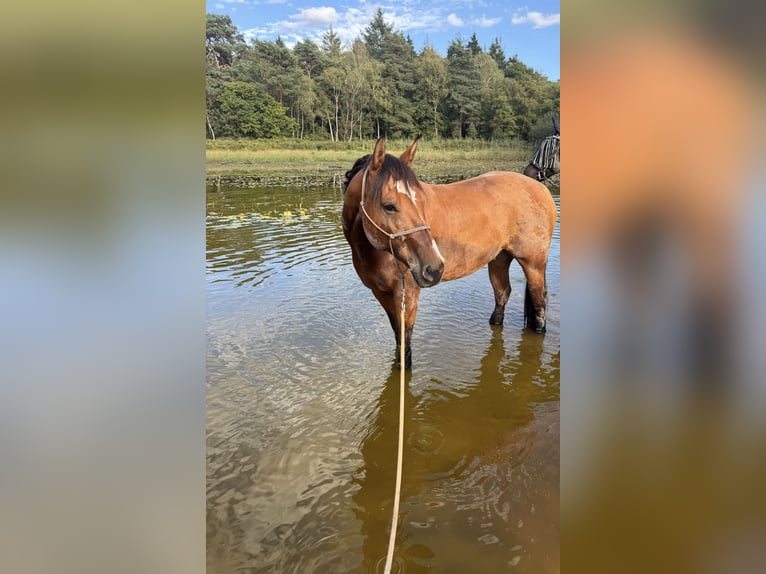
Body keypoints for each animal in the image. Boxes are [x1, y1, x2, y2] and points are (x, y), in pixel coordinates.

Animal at [342, 137, 557, 369]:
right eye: (389, 206)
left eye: (422, 202)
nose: (434, 267)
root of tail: (540, 188)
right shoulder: (381, 293)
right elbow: (398, 336)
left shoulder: (407, 294)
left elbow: (405, 343)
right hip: (499, 259)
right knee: (502, 293)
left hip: (533, 263)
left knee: (539, 300)